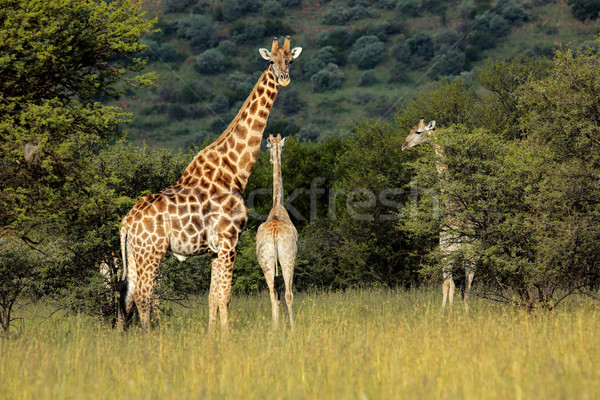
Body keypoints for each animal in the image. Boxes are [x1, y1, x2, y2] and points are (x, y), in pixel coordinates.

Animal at [115, 36, 302, 332]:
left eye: (290, 60)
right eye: (271, 61)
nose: (284, 79)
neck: (235, 170)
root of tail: (125, 224)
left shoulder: (215, 248)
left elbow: (213, 296)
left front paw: (213, 335)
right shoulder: (229, 239)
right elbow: (225, 296)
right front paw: (225, 337)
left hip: (134, 255)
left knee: (128, 297)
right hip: (151, 252)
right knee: (144, 296)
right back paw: (151, 338)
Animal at [400, 119, 476, 316]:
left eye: (419, 132)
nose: (403, 145)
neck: (452, 204)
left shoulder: (448, 252)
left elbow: (449, 285)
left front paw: (446, 314)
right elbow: (450, 285)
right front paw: (446, 314)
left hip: (459, 255)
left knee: (457, 285)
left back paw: (455, 314)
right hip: (469, 257)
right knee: (465, 287)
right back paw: (465, 315)